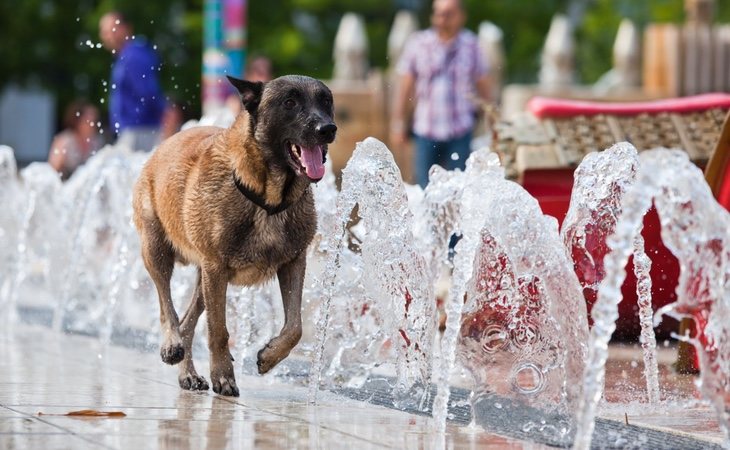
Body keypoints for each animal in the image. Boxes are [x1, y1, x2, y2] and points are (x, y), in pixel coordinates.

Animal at [132, 75, 336, 396]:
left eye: (326, 101)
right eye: (290, 102)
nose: (327, 129)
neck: (268, 199)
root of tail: (164, 144)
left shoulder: (293, 263)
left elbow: (295, 326)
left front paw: (269, 356)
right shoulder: (216, 268)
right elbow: (218, 330)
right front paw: (223, 376)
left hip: (204, 281)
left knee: (188, 322)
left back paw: (187, 374)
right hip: (157, 251)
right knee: (168, 308)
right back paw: (172, 345)